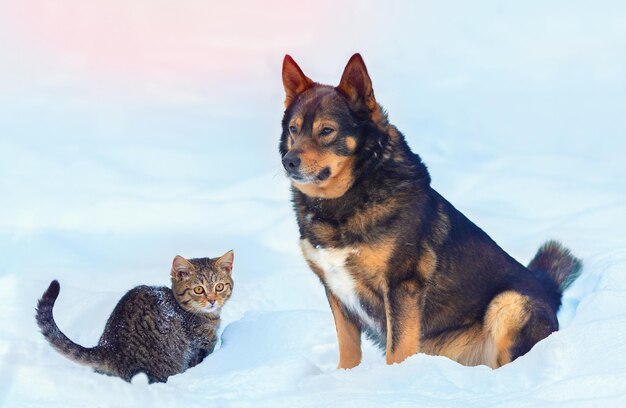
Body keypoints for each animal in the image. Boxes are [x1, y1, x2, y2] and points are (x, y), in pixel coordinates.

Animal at [278, 54, 580, 370]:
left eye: (326, 131)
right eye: (294, 129)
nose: (289, 161)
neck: (350, 196)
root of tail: (550, 292)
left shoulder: (402, 286)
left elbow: (396, 351)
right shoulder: (335, 289)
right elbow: (348, 350)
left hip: (508, 303)